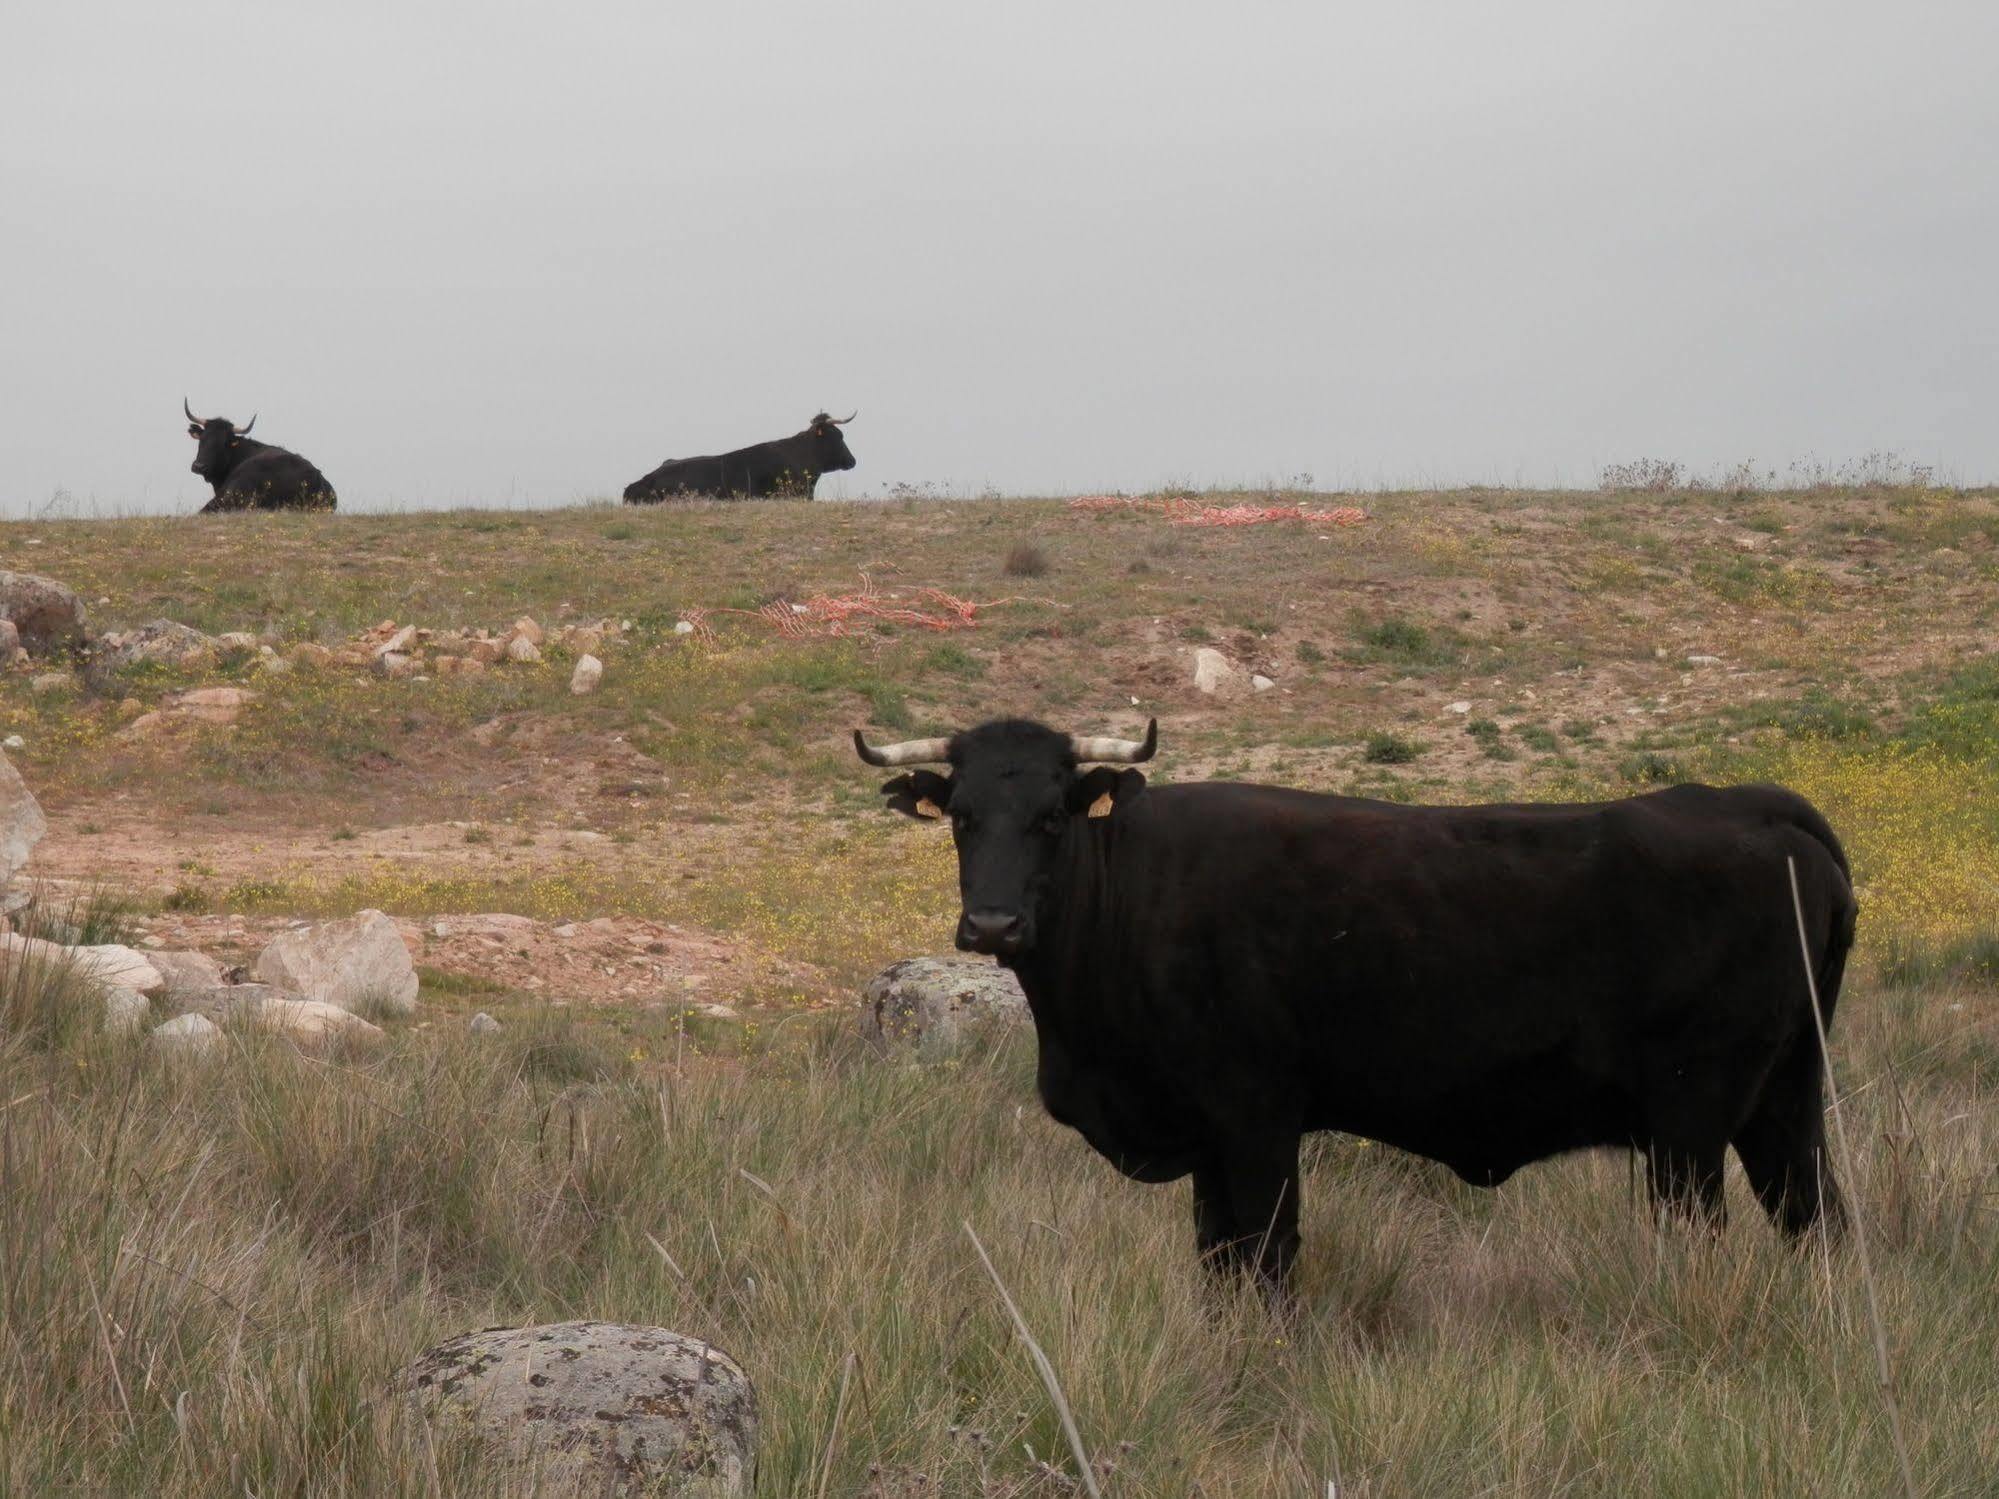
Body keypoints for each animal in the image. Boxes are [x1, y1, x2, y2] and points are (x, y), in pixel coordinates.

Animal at [855, 711, 1855, 1295]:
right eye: (961, 817)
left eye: (1053, 816)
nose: (992, 922)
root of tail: (1748, 803)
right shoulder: (1209, 1138)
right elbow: (1217, 1263)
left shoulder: (1256, 1117)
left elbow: (1266, 1257)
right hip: (1783, 1099)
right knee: (1818, 1219)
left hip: (1692, 1117)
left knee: (1707, 1233)